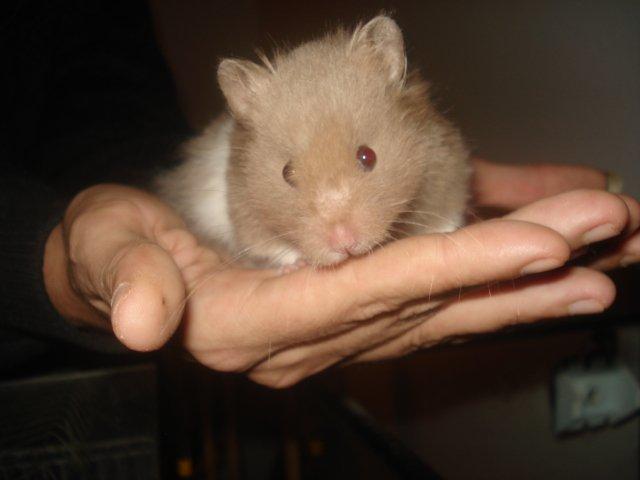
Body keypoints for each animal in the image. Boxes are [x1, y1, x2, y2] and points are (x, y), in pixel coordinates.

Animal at [155, 15, 471, 269]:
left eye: (368, 156)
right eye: (286, 173)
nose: (344, 243)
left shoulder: (443, 168)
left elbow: (444, 216)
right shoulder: (243, 210)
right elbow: (268, 245)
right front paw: (296, 264)